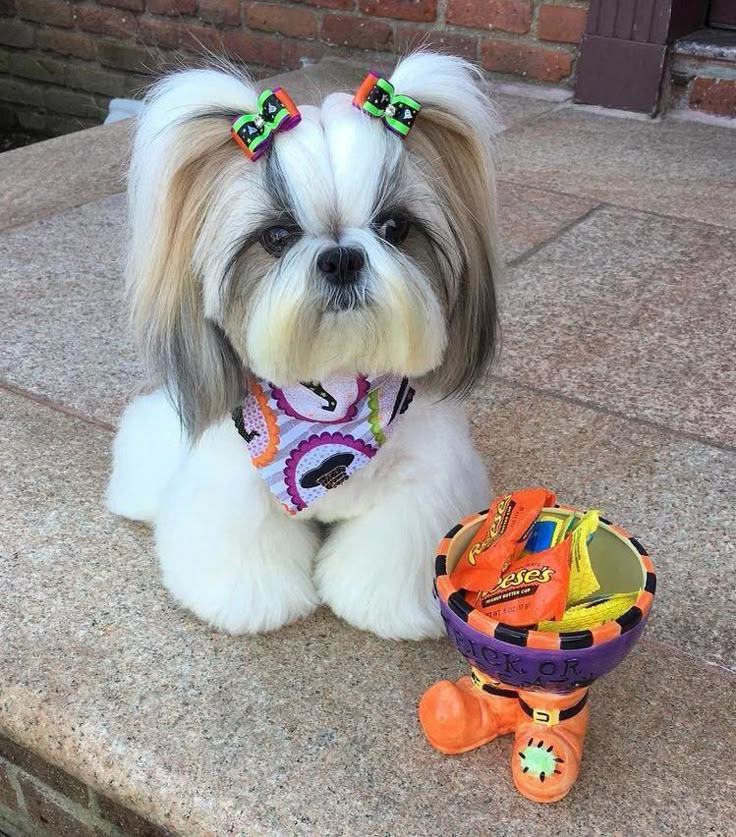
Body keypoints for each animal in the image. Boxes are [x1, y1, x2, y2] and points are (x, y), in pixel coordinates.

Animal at [108, 50, 500, 640]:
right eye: (276, 237)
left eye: (395, 227)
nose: (340, 258)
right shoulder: (234, 482)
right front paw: (249, 602)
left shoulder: (424, 487)